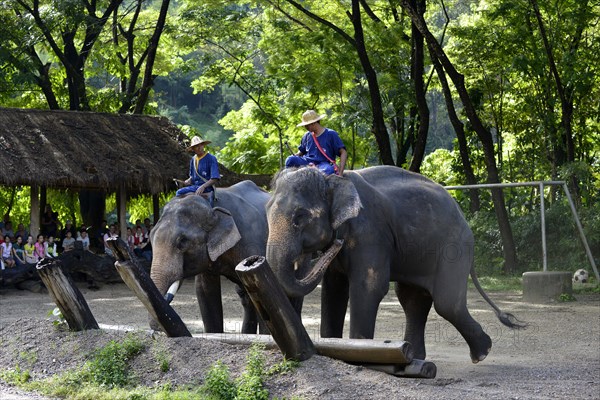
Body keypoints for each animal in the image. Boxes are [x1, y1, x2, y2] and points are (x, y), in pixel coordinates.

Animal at [150, 180, 270, 332]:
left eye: (182, 241)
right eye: (150, 236)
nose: (156, 329)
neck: (209, 204)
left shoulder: (252, 244)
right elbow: (204, 290)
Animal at [268, 166, 524, 362]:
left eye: (300, 217)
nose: (334, 245)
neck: (332, 179)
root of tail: (462, 215)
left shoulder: (370, 233)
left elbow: (368, 288)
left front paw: (359, 354)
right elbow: (334, 291)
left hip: (454, 247)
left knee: (447, 303)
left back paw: (482, 352)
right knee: (413, 299)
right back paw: (417, 357)